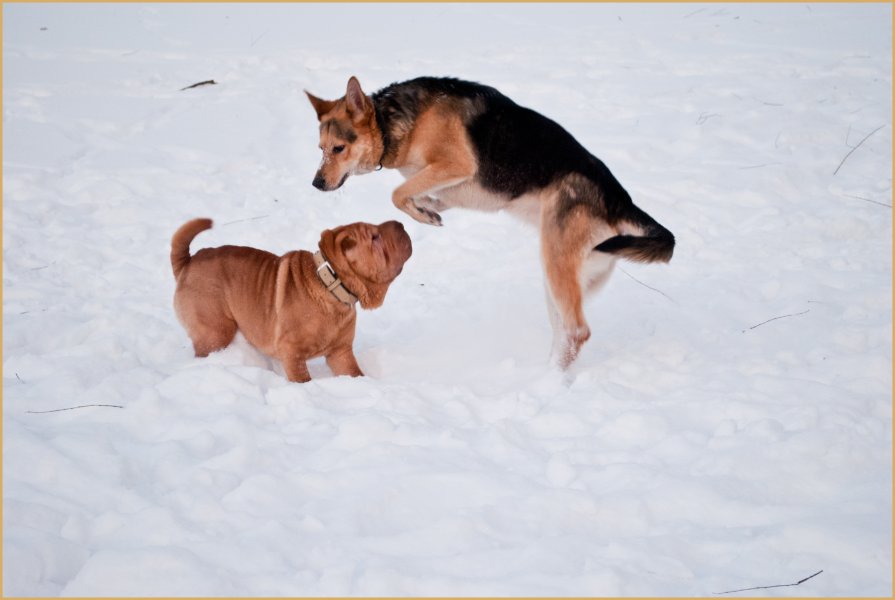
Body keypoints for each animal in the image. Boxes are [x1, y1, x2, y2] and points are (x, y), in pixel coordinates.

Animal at [170, 218, 412, 382]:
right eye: (374, 237)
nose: (400, 224)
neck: (331, 284)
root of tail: (187, 263)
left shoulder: (340, 353)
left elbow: (355, 373)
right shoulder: (293, 353)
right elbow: (303, 379)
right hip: (216, 330)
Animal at [306, 77, 672, 368]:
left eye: (339, 148)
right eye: (320, 148)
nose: (316, 183)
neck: (390, 120)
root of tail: (620, 201)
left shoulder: (456, 165)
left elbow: (397, 194)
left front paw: (422, 213)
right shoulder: (457, 190)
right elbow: (422, 196)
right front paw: (426, 209)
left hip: (556, 262)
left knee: (578, 331)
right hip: (565, 277)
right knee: (565, 332)